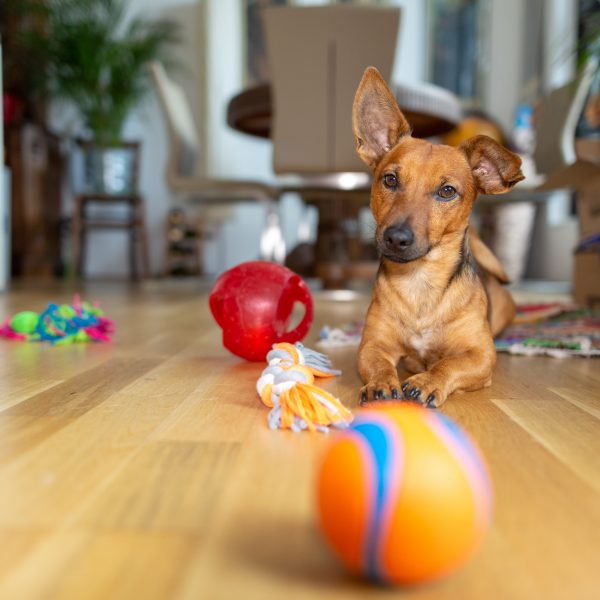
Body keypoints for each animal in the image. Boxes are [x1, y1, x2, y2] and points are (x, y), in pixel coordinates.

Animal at [354, 69, 524, 408]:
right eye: (389, 179)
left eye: (447, 191)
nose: (396, 238)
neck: (420, 282)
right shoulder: (372, 344)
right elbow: (379, 364)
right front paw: (381, 383)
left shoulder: (481, 355)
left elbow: (449, 364)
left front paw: (428, 381)